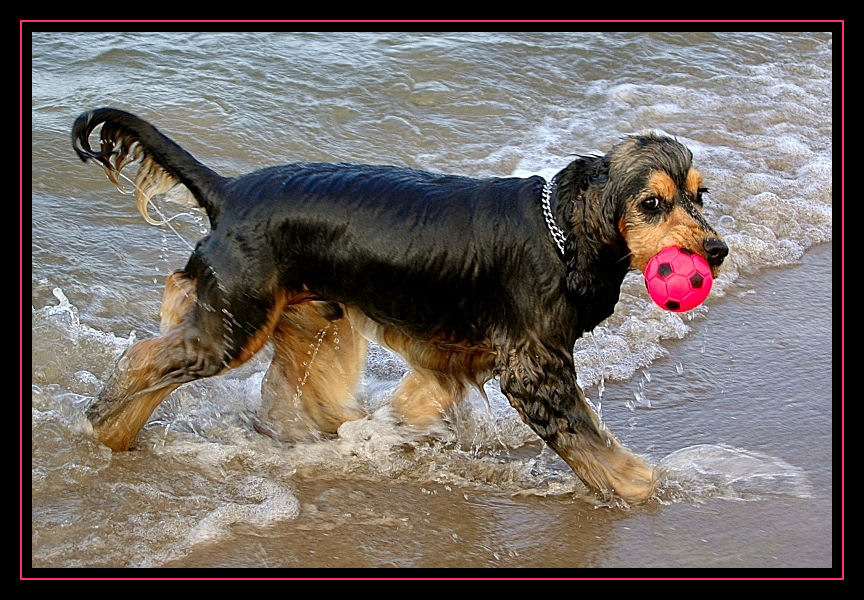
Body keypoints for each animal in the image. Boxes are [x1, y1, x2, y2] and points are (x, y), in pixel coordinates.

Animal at [71, 106, 724, 502]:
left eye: (700, 195)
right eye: (651, 204)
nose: (716, 251)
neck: (558, 228)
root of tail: (229, 191)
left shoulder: (450, 358)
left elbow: (415, 404)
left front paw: (384, 435)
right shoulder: (534, 366)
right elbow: (584, 435)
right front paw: (639, 482)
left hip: (311, 320)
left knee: (285, 389)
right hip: (235, 326)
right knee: (144, 356)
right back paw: (106, 429)